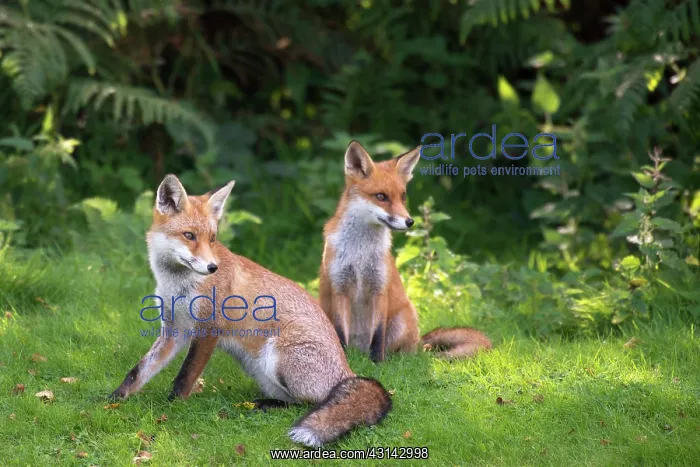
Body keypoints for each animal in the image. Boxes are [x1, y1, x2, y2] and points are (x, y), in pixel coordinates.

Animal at [109, 174, 392, 448]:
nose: (212, 267)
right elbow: (137, 372)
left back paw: (267, 405)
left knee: (311, 403)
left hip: (276, 355)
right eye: (189, 236)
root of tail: (347, 371)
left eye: (212, 239)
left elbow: (184, 376)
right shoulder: (173, 330)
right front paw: (114, 399)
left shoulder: (208, 329)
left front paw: (171, 410)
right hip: (258, 369)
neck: (178, 284)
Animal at [319, 141, 492, 362]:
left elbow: (378, 334)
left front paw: (378, 363)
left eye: (402, 196)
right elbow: (341, 333)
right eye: (381, 196)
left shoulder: (380, 288)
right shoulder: (339, 287)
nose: (410, 222)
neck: (360, 254)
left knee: (403, 352)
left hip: (404, 318)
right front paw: (343, 358)